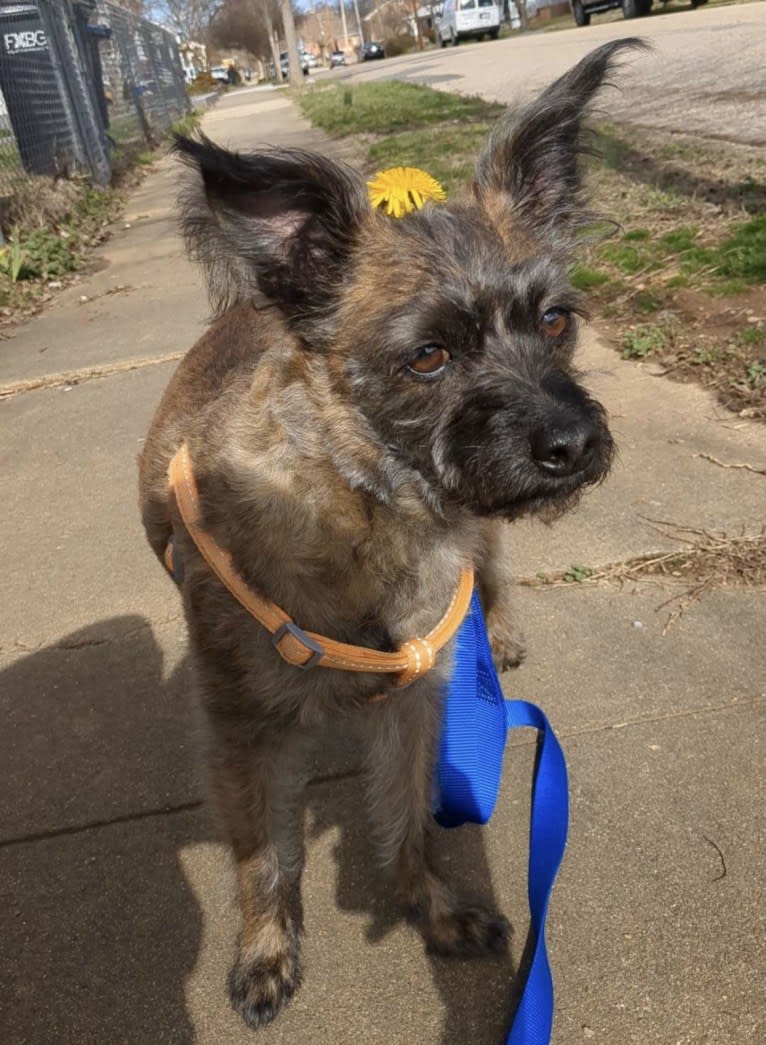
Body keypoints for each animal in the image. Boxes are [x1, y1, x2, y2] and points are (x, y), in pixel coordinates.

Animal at [138, 38, 639, 1028]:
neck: (361, 505)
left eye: (555, 320)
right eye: (428, 356)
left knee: (494, 565)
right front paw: (265, 952)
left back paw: (502, 629)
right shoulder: (245, 735)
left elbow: (408, 823)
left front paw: (430, 909)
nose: (574, 442)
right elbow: (264, 858)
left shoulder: (413, 707)